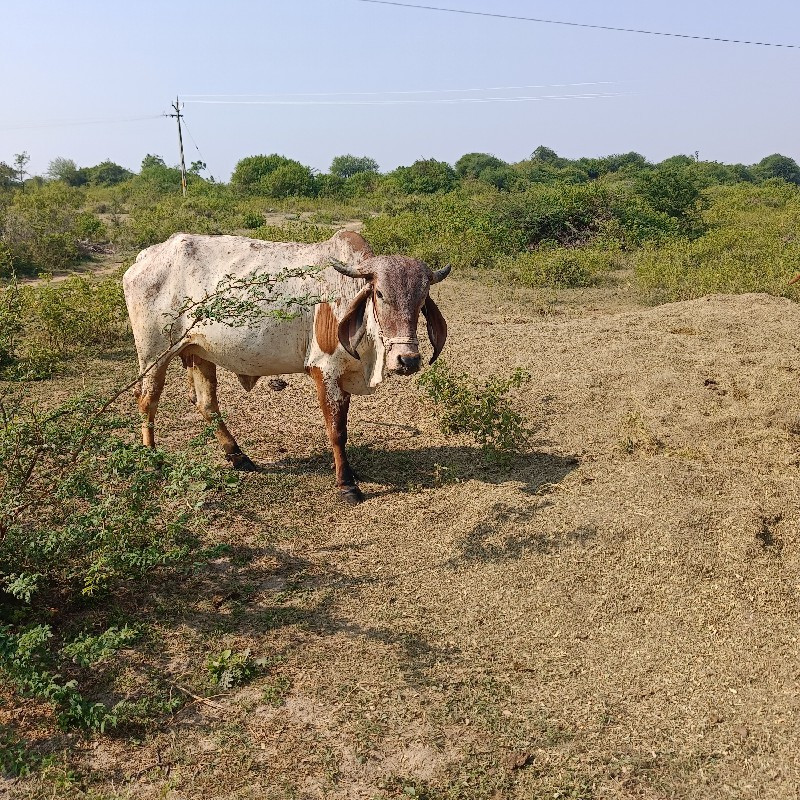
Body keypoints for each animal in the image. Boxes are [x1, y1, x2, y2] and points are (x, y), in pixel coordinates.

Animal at [124, 228, 450, 504]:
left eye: (422, 299)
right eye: (380, 294)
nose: (407, 360)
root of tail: (146, 257)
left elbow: (343, 428)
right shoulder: (325, 371)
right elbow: (336, 431)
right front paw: (346, 484)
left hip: (200, 352)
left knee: (206, 404)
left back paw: (238, 456)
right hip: (154, 353)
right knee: (147, 400)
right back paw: (151, 457)